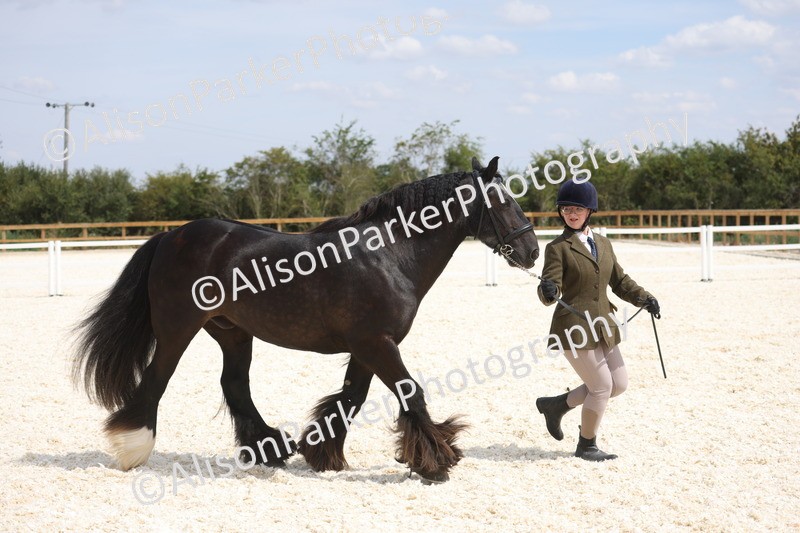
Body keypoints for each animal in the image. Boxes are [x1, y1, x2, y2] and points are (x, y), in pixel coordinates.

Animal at [72, 156, 540, 483]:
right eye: (503, 200)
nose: (532, 251)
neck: (390, 254)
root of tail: (171, 235)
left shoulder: (366, 348)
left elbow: (350, 399)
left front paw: (324, 455)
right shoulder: (377, 344)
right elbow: (410, 393)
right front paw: (436, 462)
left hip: (232, 333)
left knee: (234, 385)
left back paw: (269, 449)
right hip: (177, 329)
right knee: (157, 381)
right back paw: (132, 449)